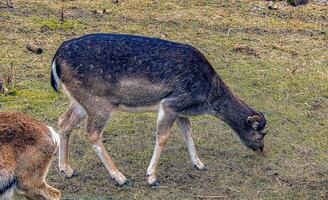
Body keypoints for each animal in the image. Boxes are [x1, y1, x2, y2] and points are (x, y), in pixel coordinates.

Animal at [50, 33, 266, 188]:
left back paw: (66, 170)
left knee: (64, 122)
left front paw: (199, 164)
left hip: (80, 101)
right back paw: (120, 177)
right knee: (92, 133)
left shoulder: (181, 109)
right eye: (261, 132)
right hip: (99, 102)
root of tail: (57, 57)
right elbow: (163, 136)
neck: (205, 96)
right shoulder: (171, 103)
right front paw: (151, 177)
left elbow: (188, 132)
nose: (262, 150)